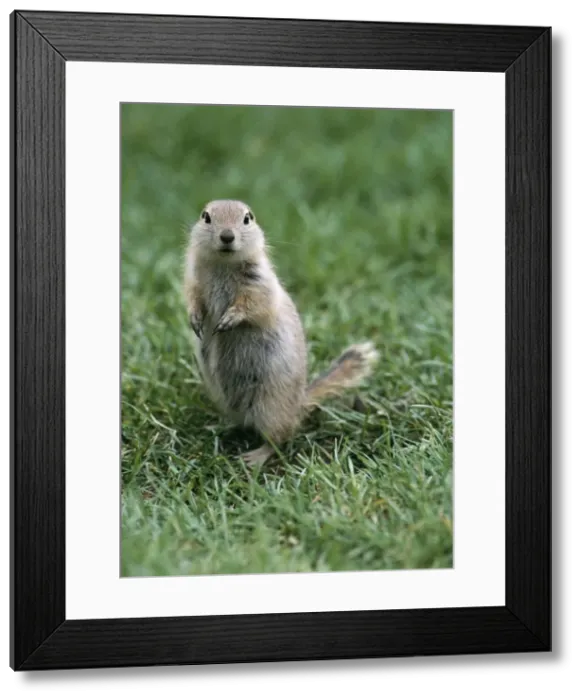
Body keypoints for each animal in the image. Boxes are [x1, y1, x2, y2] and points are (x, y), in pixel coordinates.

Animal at [183, 199, 379, 467]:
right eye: (206, 217)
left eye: (247, 218)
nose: (227, 236)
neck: (223, 263)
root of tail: (299, 404)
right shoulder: (193, 279)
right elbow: (193, 299)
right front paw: (195, 320)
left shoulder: (260, 284)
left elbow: (252, 304)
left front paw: (228, 320)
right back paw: (219, 427)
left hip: (270, 408)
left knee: (279, 438)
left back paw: (254, 457)